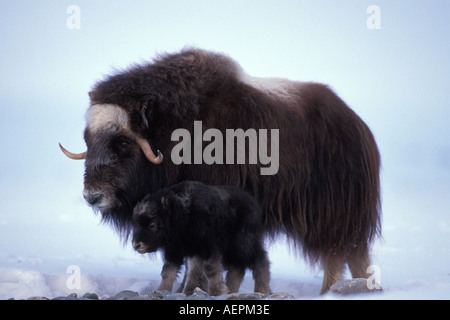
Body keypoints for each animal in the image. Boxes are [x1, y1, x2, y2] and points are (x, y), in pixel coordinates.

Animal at [131, 180, 270, 296]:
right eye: (136, 223)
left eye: (152, 225)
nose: (136, 245)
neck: (183, 213)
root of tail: (253, 203)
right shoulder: (179, 251)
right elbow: (169, 272)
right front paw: (163, 290)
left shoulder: (208, 248)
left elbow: (209, 270)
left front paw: (217, 292)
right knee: (238, 269)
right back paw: (231, 290)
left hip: (244, 244)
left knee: (260, 260)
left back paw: (262, 290)